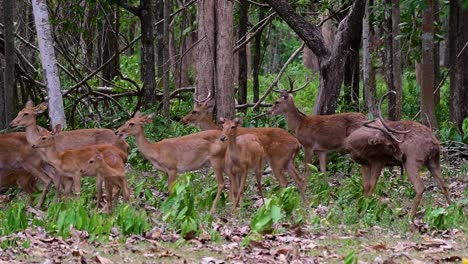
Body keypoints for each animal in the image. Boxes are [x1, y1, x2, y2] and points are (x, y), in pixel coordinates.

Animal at [180, 94, 308, 199]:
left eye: (194, 111)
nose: (182, 120)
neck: (217, 130)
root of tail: (297, 143)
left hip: (277, 159)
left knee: (284, 182)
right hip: (288, 161)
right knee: (300, 180)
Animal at [346, 91, 452, 219]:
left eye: (397, 142)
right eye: (390, 145)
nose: (402, 156)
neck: (355, 145)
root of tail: (435, 143)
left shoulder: (378, 161)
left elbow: (371, 187)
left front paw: (365, 212)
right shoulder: (364, 164)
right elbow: (365, 187)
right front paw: (359, 209)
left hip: (412, 161)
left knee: (420, 187)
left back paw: (409, 217)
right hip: (433, 161)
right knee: (444, 186)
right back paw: (453, 210)